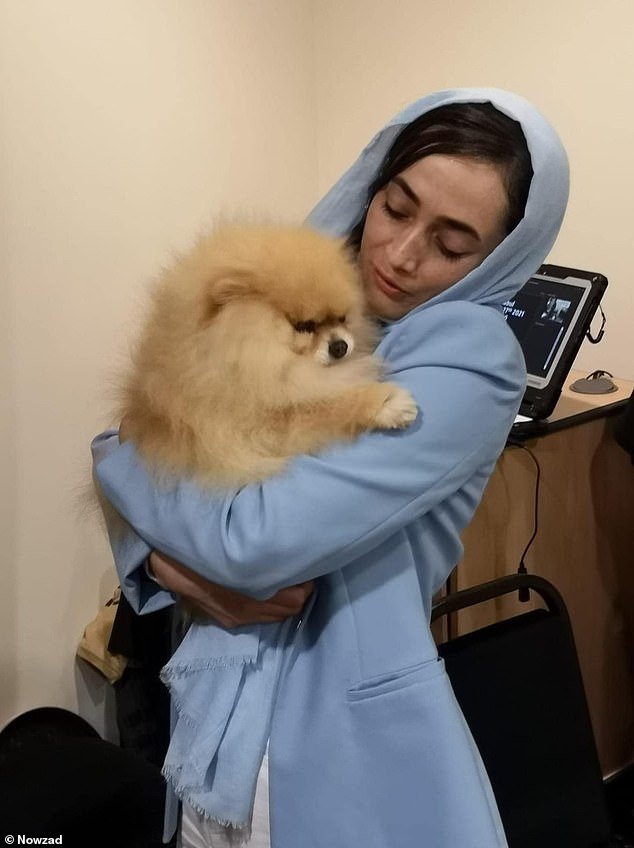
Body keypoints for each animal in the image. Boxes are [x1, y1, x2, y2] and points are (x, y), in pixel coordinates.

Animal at [116, 222, 418, 486]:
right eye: (303, 326)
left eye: (342, 318)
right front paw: (386, 402)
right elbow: (323, 407)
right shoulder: (256, 427)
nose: (340, 346)